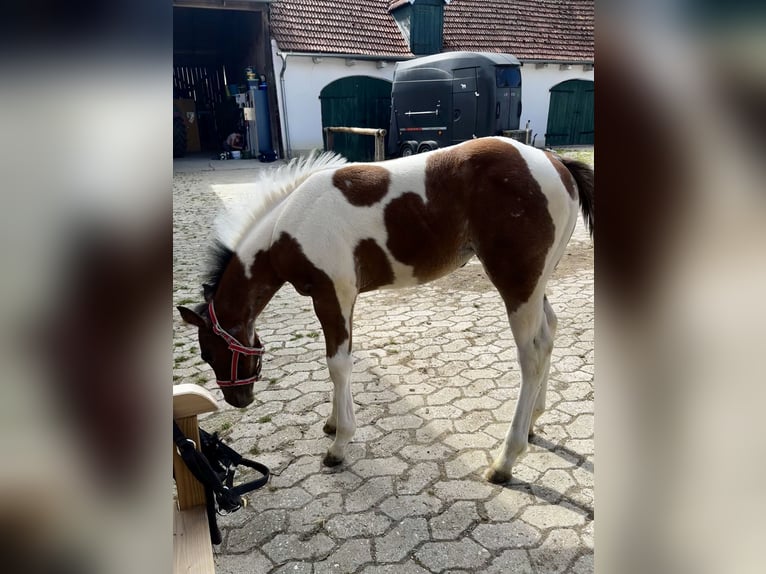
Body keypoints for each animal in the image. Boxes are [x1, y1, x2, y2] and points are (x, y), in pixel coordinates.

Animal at [178, 137, 592, 484]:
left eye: (209, 352)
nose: (238, 400)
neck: (287, 226)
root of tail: (556, 161)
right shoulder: (339, 297)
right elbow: (341, 359)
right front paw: (333, 424)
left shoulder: (332, 294)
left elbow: (337, 364)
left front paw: (339, 444)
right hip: (536, 283)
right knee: (549, 334)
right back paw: (534, 422)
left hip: (517, 282)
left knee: (531, 355)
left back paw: (506, 460)